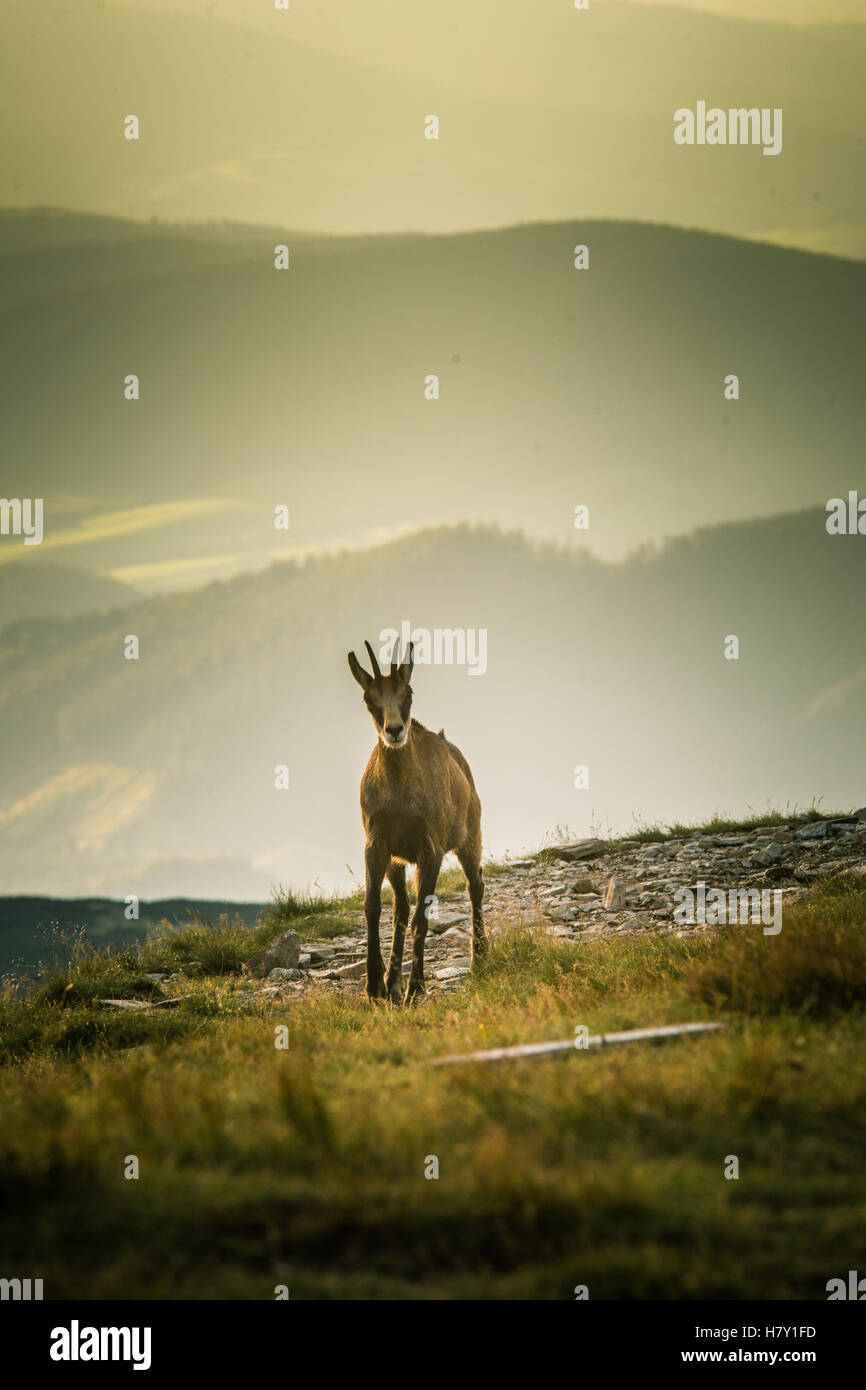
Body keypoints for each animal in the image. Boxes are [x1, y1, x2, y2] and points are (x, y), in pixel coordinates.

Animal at [347, 637, 486, 1004]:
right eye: (369, 699)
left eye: (407, 693)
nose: (394, 730)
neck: (399, 796)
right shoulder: (377, 844)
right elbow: (373, 907)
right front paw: (375, 986)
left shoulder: (430, 849)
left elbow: (422, 919)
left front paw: (416, 987)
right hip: (397, 860)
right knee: (400, 907)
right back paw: (392, 982)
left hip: (470, 835)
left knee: (476, 885)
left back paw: (479, 958)